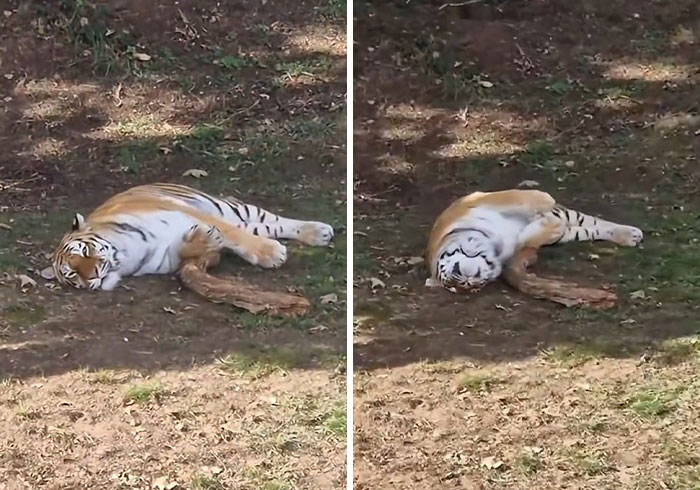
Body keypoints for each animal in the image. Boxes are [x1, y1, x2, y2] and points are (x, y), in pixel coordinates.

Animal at [40, 183, 334, 291]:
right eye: (71, 274)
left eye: (85, 252)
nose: (92, 277)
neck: (127, 257)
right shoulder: (166, 258)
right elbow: (187, 247)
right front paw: (203, 239)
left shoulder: (185, 211)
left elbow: (232, 234)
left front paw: (271, 253)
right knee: (262, 227)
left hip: (229, 208)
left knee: (274, 221)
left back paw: (319, 231)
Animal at [425, 189, 643, 292]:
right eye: (458, 286)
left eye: (455, 272)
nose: (466, 281)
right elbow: (526, 238)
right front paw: (547, 226)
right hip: (574, 230)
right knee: (590, 228)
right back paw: (631, 236)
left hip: (569, 214)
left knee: (592, 221)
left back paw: (633, 233)